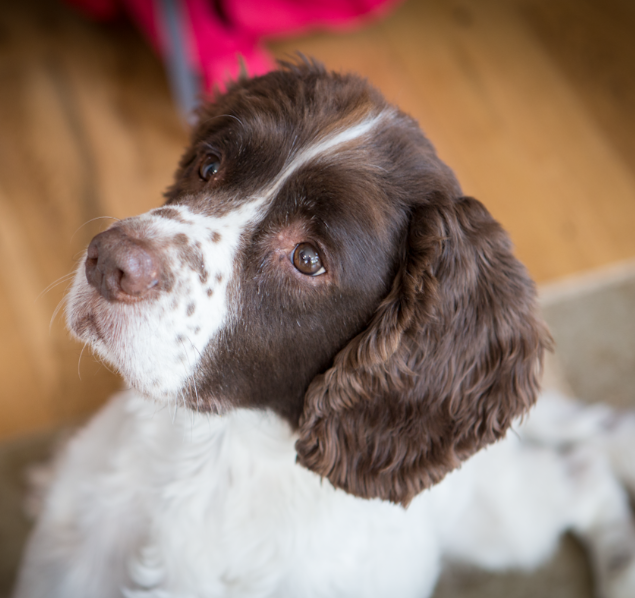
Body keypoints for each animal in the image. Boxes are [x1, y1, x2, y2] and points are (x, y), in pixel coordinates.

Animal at [12, 59, 635, 598]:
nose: (107, 261)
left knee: (584, 474)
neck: (217, 464)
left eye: (308, 259)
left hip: (502, 526)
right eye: (208, 165)